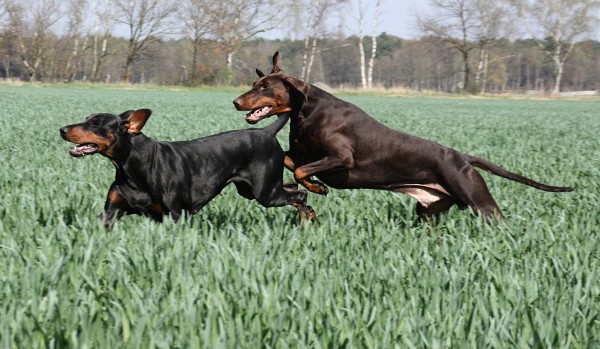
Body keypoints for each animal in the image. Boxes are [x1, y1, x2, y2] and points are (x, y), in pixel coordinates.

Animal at [58, 109, 316, 228]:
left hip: (265, 192)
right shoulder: (110, 213)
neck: (131, 168)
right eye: (86, 118)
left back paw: (306, 222)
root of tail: (266, 131)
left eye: (95, 123)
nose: (62, 129)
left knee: (300, 195)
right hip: (252, 189)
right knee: (293, 187)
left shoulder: (175, 214)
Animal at [233, 51, 572, 220]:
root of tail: (462, 158)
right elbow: (294, 164)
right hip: (429, 212)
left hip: (479, 202)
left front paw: (318, 187)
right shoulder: (301, 153)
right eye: (254, 84)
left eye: (266, 87)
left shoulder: (342, 157)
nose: (236, 101)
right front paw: (315, 186)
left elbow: (303, 170)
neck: (307, 111)